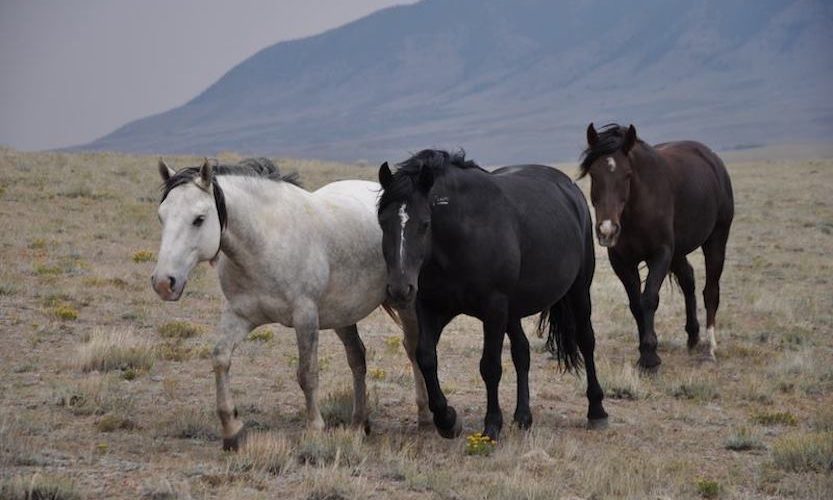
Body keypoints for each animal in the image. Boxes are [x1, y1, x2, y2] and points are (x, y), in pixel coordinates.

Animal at [149, 157, 428, 450]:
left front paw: (315, 429)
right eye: (161, 216)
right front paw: (232, 429)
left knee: (412, 349)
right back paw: (358, 423)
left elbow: (307, 374)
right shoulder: (239, 314)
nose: (164, 283)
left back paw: (425, 415)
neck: (265, 241)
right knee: (357, 358)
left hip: (405, 303)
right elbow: (220, 358)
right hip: (343, 314)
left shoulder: (305, 316)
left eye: (199, 219)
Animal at [376, 150, 604, 440]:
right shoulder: (430, 307)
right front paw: (447, 420)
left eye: (425, 224)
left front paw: (492, 425)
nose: (399, 288)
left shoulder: (493, 308)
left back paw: (597, 410)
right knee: (522, 352)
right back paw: (523, 416)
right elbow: (426, 357)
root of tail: (570, 189)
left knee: (586, 340)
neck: (463, 235)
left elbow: (490, 366)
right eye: (383, 222)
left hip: (578, 290)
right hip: (513, 310)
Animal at [580, 123, 732, 370]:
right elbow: (635, 303)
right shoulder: (621, 261)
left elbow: (649, 298)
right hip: (679, 251)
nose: (607, 230)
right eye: (593, 173)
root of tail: (711, 158)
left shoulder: (661, 253)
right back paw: (693, 336)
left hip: (717, 239)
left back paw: (709, 348)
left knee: (711, 291)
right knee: (688, 280)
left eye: (627, 174)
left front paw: (650, 356)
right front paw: (644, 351)